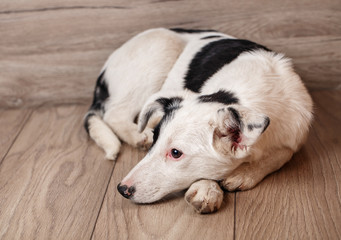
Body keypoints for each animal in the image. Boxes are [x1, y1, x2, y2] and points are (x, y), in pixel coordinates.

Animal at [83, 28, 312, 214]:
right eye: (157, 140)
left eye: (176, 153)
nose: (122, 189)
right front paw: (207, 188)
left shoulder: (295, 136)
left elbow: (280, 155)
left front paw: (244, 174)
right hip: (161, 48)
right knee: (115, 113)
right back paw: (138, 135)